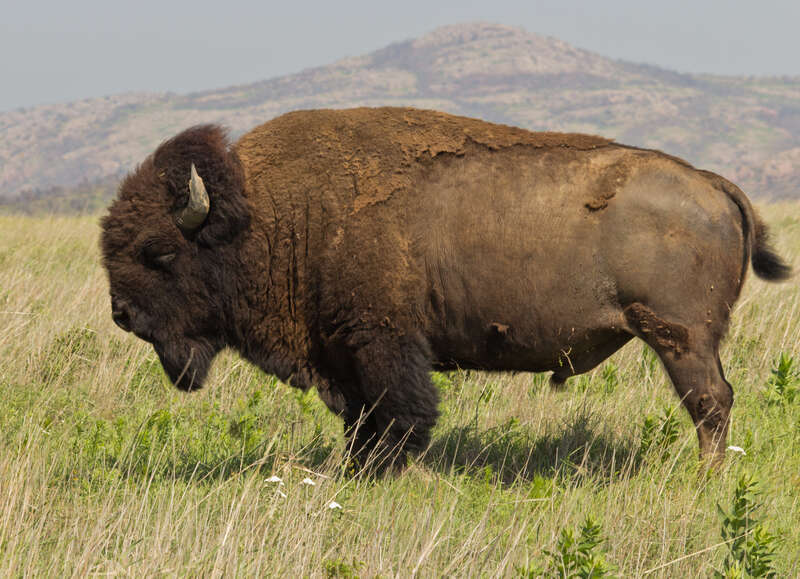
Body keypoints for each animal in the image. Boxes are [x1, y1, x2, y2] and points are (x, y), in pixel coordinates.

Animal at [101, 107, 791, 470]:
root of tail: (710, 182)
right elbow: (358, 420)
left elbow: (401, 416)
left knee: (711, 402)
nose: (122, 314)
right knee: (714, 402)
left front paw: (382, 475)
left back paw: (703, 479)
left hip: (681, 339)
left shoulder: (383, 343)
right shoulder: (342, 354)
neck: (271, 213)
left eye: (158, 252)